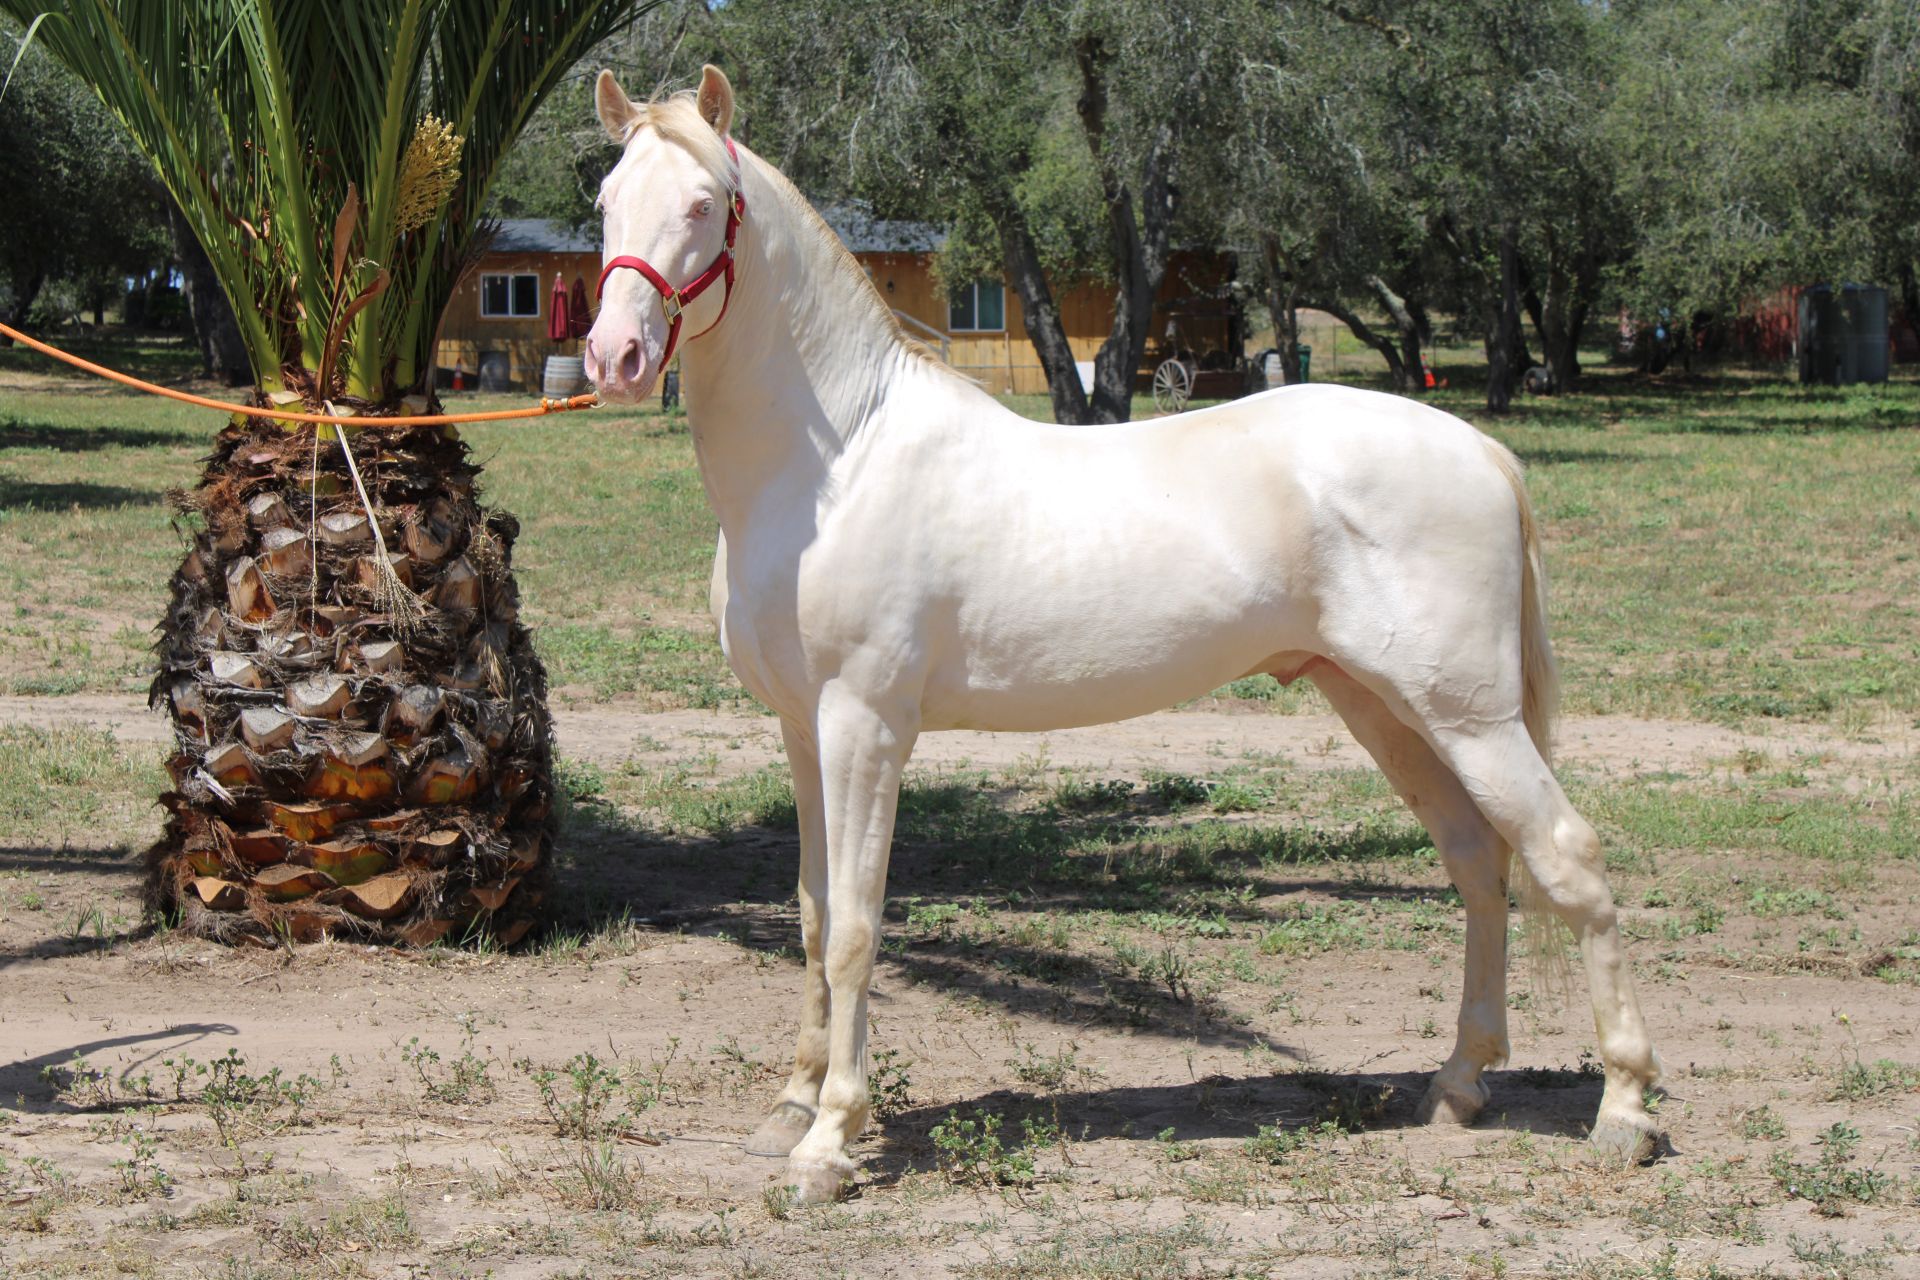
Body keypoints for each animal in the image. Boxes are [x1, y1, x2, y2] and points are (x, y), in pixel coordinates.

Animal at [584, 65, 1662, 1205]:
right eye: (606, 200)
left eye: (703, 204)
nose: (615, 356)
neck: (838, 458)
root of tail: (1483, 450)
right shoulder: (802, 731)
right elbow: (810, 915)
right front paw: (790, 1107)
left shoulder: (865, 728)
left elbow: (858, 928)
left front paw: (829, 1142)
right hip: (1385, 707)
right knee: (1477, 862)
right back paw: (1457, 1087)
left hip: (1471, 717)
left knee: (1567, 855)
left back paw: (1626, 1112)